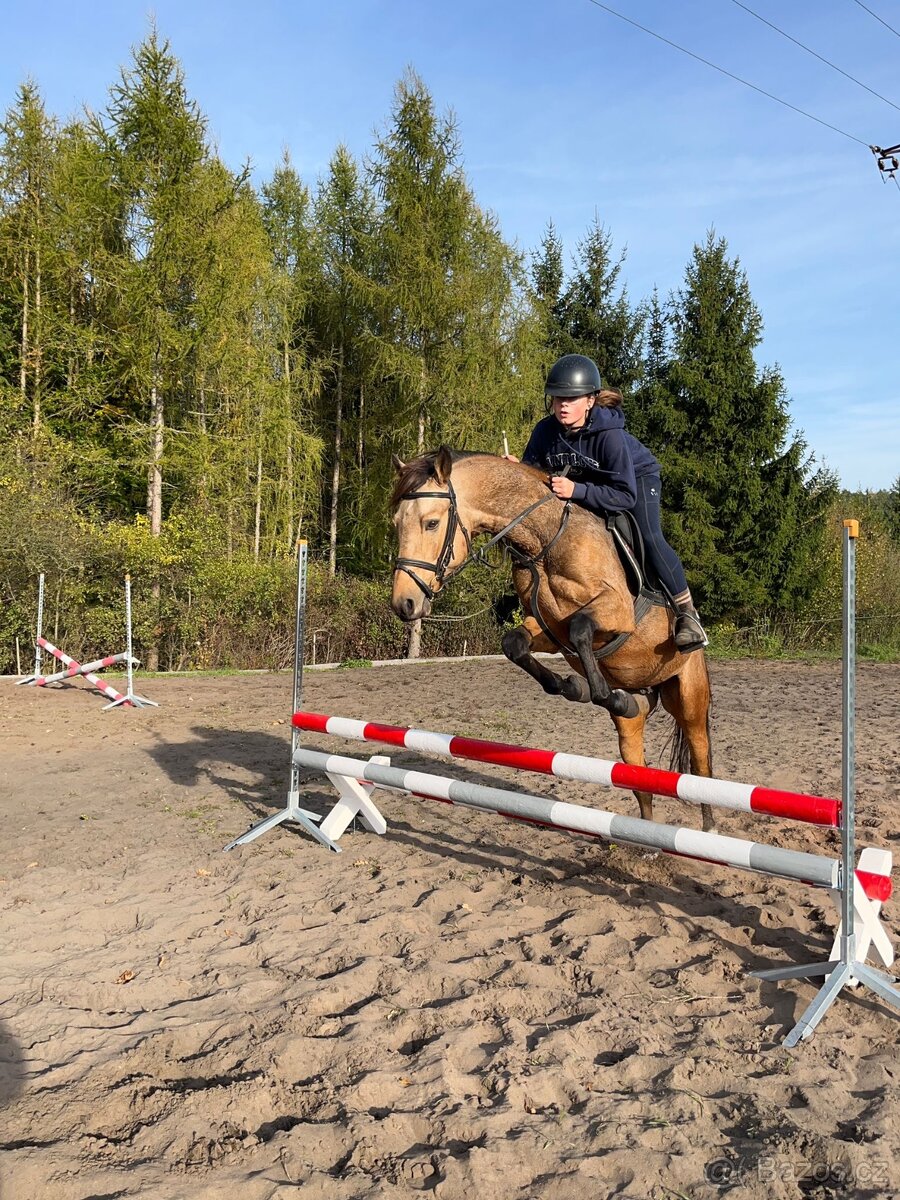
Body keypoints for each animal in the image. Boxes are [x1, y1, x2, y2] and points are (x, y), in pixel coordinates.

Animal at [390, 446, 715, 832]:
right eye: (396, 523)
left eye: (431, 523)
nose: (404, 603)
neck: (544, 541)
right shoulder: (548, 630)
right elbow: (515, 643)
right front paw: (572, 687)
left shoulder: (617, 611)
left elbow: (581, 628)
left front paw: (592, 690)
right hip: (633, 723)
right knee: (640, 774)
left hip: (689, 698)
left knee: (701, 763)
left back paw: (709, 828)